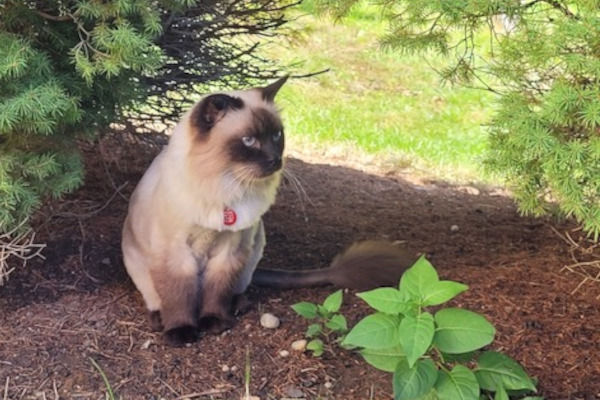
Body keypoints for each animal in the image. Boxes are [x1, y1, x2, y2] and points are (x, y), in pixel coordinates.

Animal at [121, 76, 412, 346]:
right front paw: (181, 332)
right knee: (157, 298)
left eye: (276, 135)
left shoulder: (230, 250)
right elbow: (178, 297)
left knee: (238, 288)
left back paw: (238, 306)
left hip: (253, 250)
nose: (276, 160)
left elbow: (217, 292)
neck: (225, 186)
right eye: (249, 141)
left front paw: (214, 322)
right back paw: (160, 320)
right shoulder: (176, 256)